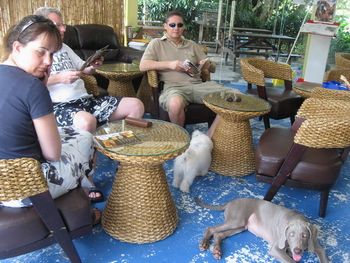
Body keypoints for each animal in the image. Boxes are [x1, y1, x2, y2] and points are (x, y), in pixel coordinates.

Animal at [197, 199, 328, 262]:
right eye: (291, 235)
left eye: (304, 235)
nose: (297, 251)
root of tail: (230, 202)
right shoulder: (276, 248)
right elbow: (291, 261)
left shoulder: (316, 245)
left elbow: (324, 256)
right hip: (237, 220)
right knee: (211, 228)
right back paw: (204, 244)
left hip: (241, 226)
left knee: (219, 234)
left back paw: (217, 251)